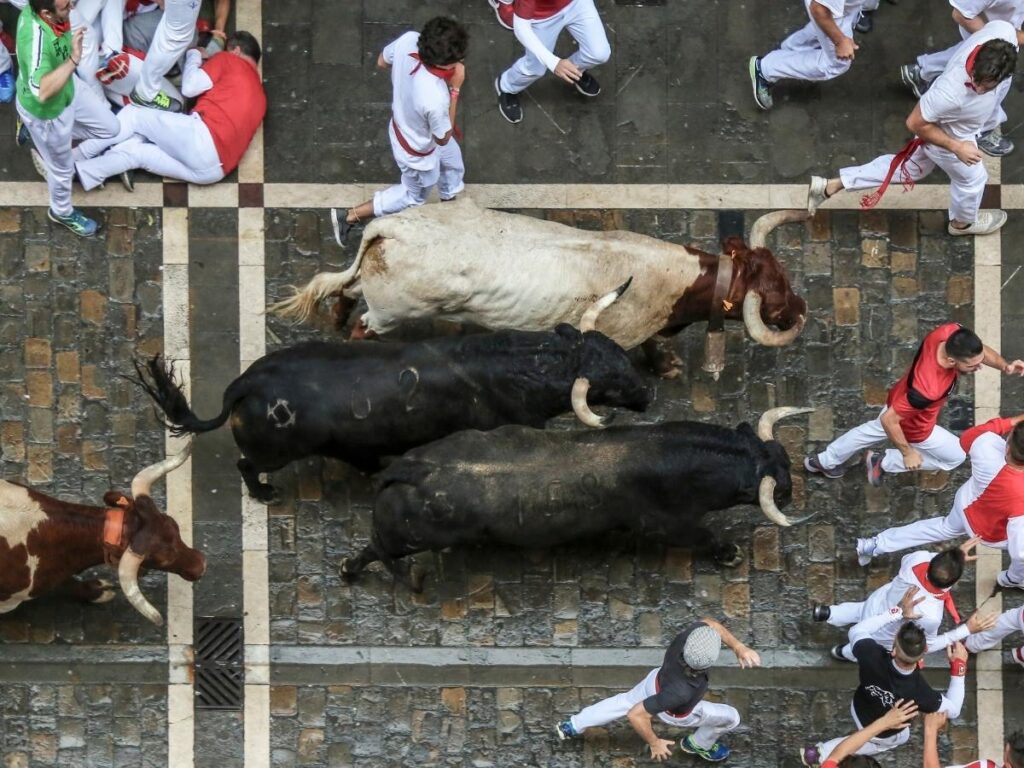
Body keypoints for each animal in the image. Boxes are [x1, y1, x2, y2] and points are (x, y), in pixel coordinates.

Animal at [0, 443, 204, 625]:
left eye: (174, 526)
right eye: (162, 560)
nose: (201, 565)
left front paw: (96, 589)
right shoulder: (9, 600)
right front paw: (97, 593)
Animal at [131, 288, 650, 504]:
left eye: (619, 353)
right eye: (608, 384)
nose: (646, 395)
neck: (523, 365)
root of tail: (246, 384)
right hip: (273, 452)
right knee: (246, 465)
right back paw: (263, 494)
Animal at [269, 200, 808, 377]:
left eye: (783, 275)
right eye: (774, 294)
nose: (801, 307)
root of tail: (391, 228)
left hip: (372, 286)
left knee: (345, 292)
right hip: (390, 313)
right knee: (363, 327)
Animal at [340, 406, 815, 591]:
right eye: (781, 485)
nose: (793, 493)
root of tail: (410, 467)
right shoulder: (670, 524)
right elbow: (706, 537)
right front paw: (730, 553)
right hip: (409, 537)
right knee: (375, 549)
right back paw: (350, 570)